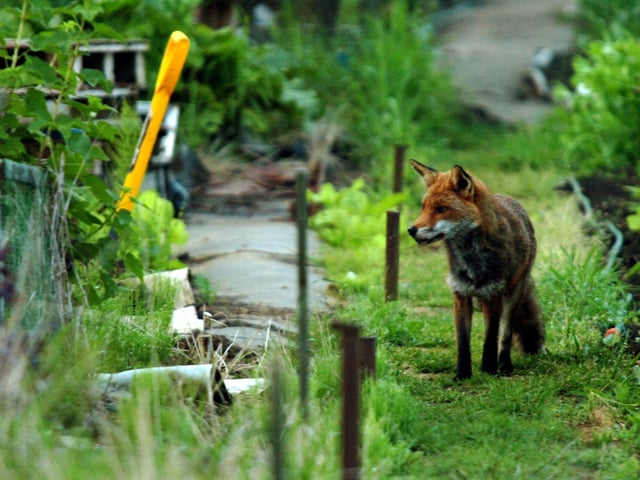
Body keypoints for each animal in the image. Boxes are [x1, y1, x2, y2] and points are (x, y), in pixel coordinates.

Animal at [408, 160, 544, 379]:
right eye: (423, 207)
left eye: (441, 209)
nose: (411, 230)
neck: (470, 260)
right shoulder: (461, 294)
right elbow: (463, 341)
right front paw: (462, 374)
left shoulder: (493, 294)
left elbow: (491, 338)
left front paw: (488, 370)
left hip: (513, 295)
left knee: (505, 335)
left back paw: (504, 365)